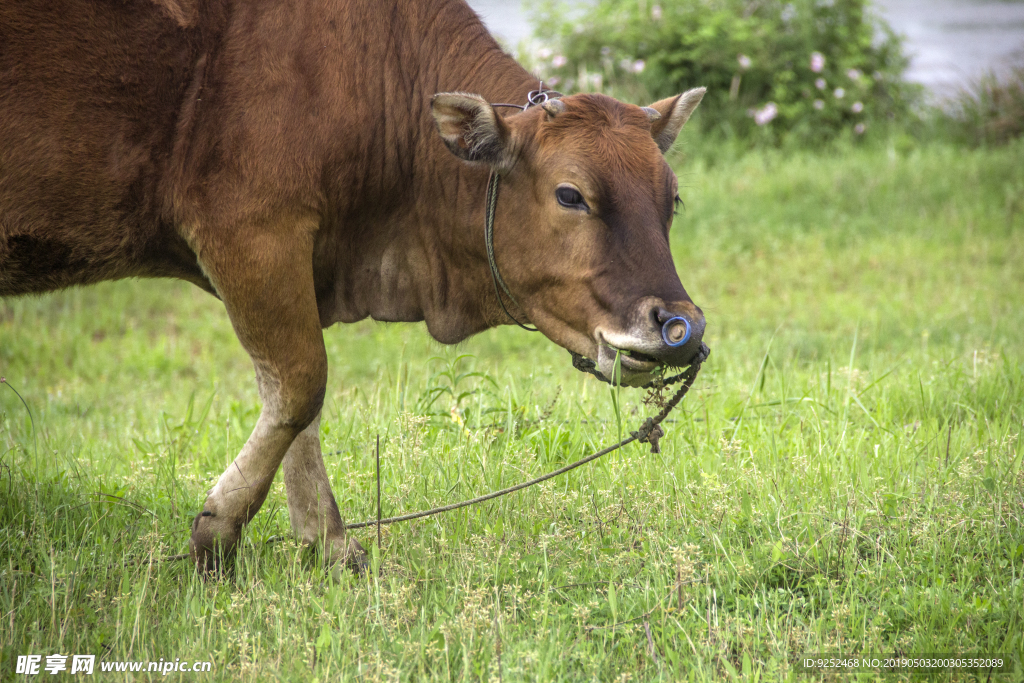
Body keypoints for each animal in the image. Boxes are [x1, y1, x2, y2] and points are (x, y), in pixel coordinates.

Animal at [0, 0, 704, 573]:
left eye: (672, 198)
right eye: (570, 195)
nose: (680, 325)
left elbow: (295, 402)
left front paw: (327, 542)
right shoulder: (250, 230)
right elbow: (300, 383)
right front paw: (219, 534)